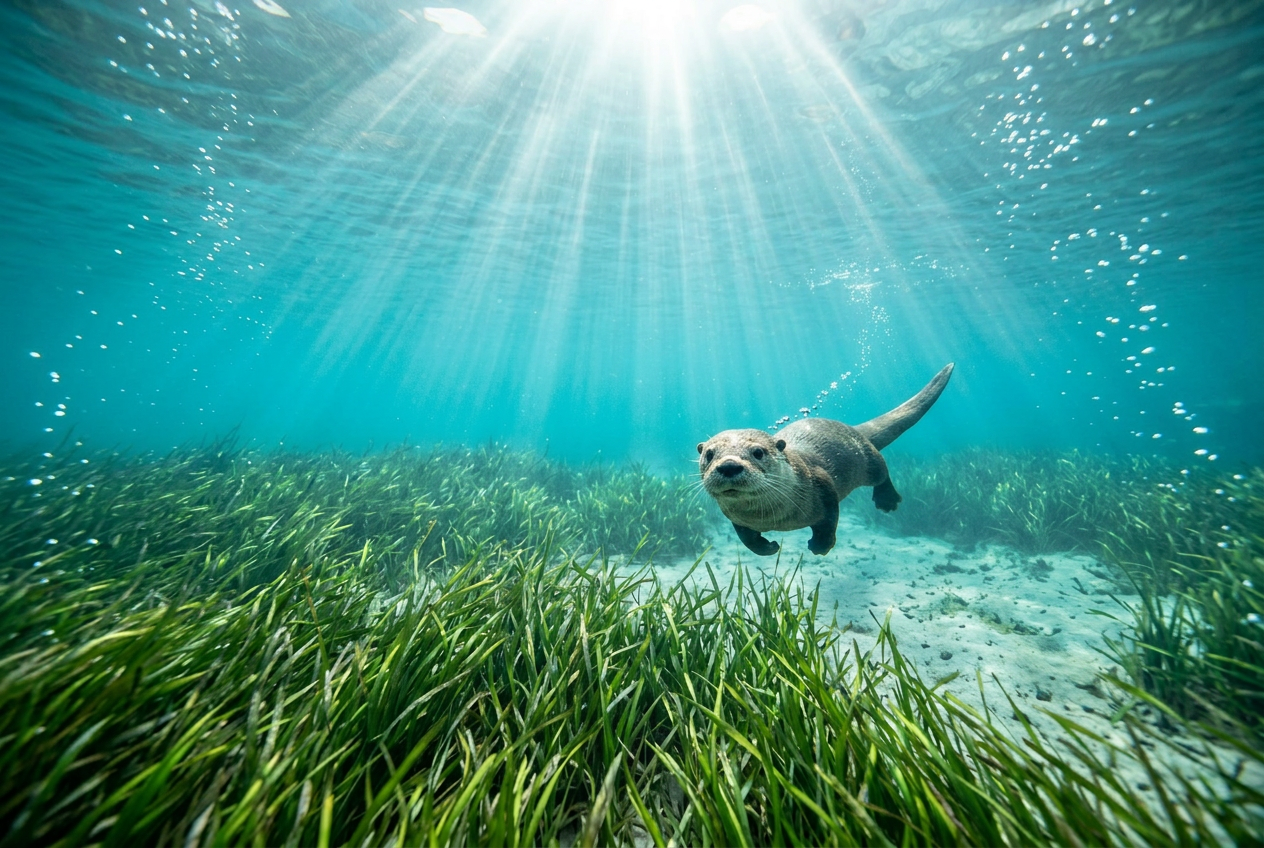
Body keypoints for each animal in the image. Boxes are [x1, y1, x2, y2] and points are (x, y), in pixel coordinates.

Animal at [697, 363, 954, 556]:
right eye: (709, 454)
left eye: (758, 452)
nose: (729, 466)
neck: (773, 518)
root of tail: (855, 429)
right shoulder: (733, 517)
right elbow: (746, 538)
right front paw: (767, 548)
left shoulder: (821, 481)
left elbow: (830, 518)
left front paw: (821, 544)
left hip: (867, 460)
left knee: (882, 470)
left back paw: (887, 500)